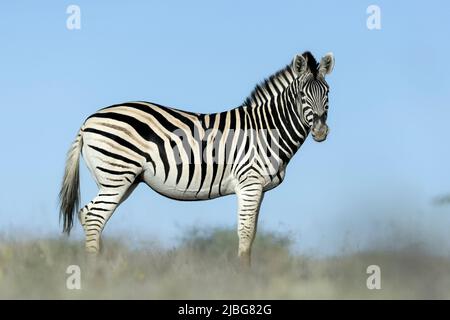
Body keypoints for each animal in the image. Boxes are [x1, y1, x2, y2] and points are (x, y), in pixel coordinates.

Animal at [59, 51, 334, 266]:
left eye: (328, 93)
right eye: (301, 95)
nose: (321, 131)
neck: (267, 129)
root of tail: (88, 121)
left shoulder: (259, 189)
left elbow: (252, 233)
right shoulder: (249, 183)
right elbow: (245, 233)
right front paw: (245, 278)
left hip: (123, 181)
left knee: (88, 214)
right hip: (117, 176)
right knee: (94, 217)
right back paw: (96, 273)